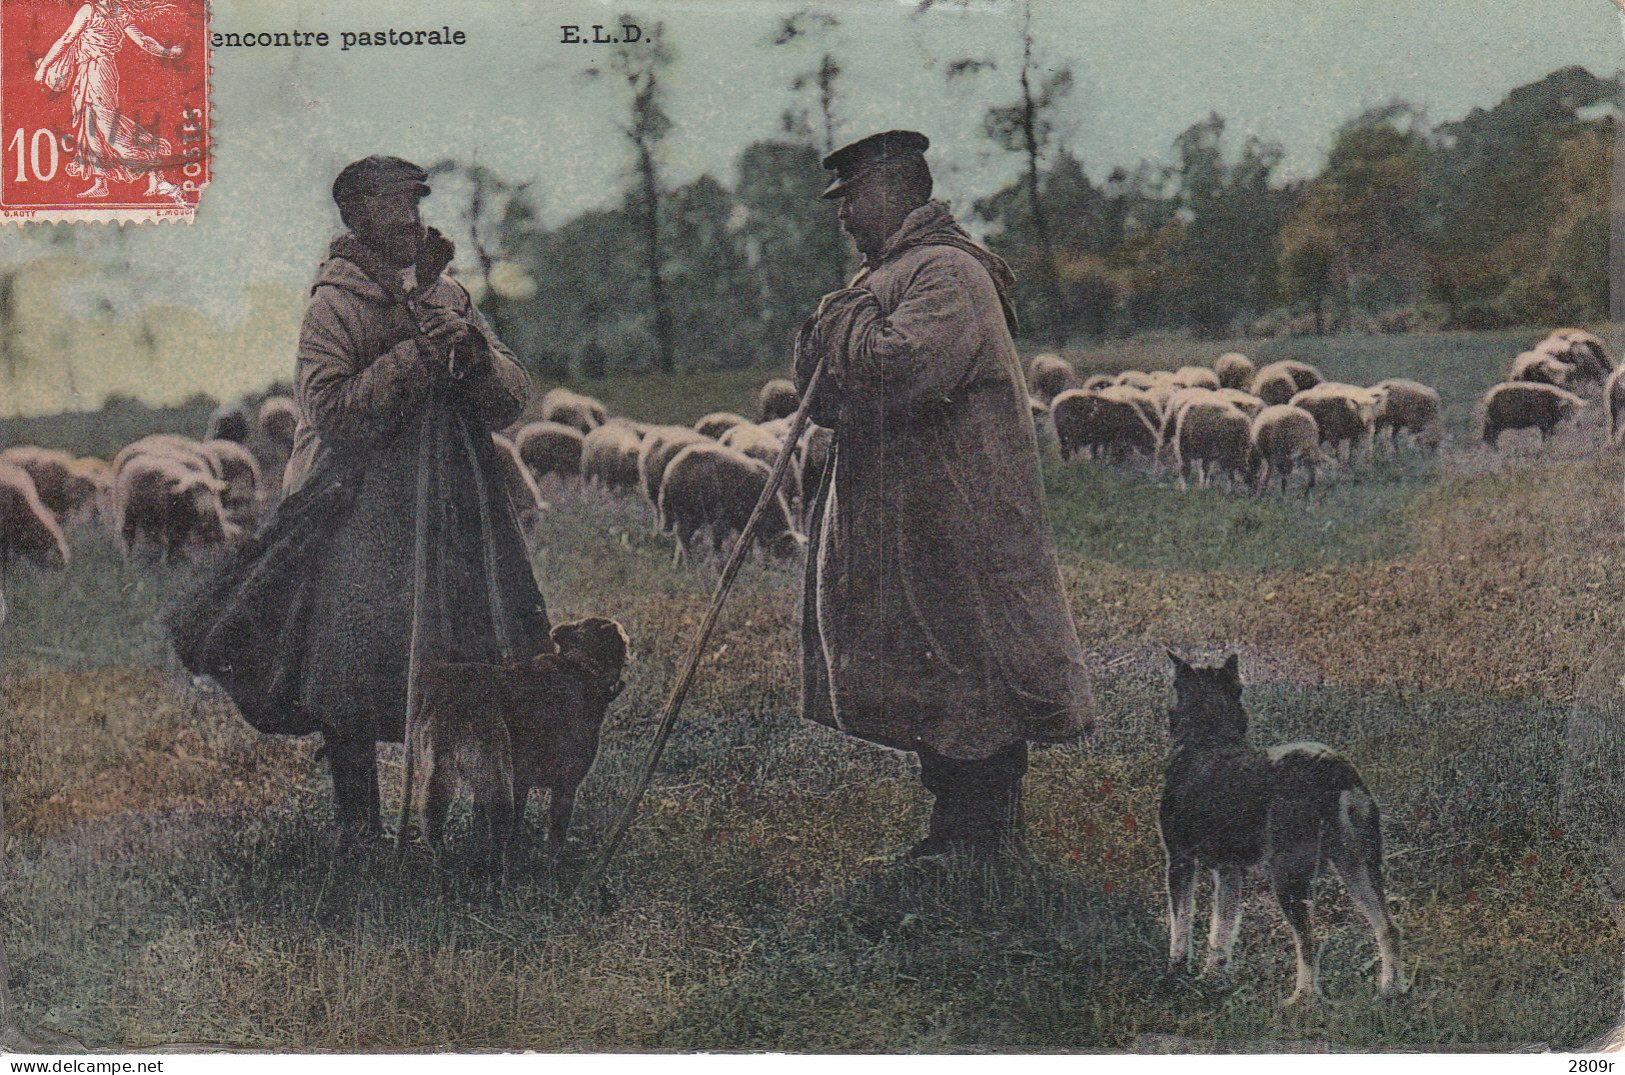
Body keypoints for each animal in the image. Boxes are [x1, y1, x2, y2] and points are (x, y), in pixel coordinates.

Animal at [659, 441, 806, 568]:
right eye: (787, 549)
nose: (785, 570)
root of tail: (669, 473)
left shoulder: (743, 523)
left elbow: (746, 543)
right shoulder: (723, 518)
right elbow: (719, 541)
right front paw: (717, 563)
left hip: (687, 512)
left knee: (682, 535)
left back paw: (680, 563)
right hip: (691, 510)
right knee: (683, 535)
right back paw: (689, 562)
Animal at [1163, 649, 1404, 1013]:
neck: (1206, 739)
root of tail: (1334, 770)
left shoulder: (1179, 863)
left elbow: (1181, 926)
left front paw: (1177, 972)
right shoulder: (1229, 873)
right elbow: (1222, 933)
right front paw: (1213, 978)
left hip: (1289, 880)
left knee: (1309, 941)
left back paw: (1302, 1000)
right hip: (1359, 869)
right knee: (1387, 928)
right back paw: (1391, 991)